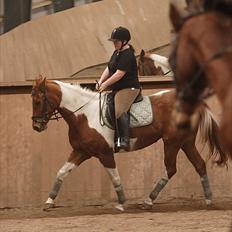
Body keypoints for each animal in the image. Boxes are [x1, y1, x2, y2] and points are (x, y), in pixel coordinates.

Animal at [31, 77, 227, 211]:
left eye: (38, 101)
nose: (36, 126)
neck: (84, 115)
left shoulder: (104, 153)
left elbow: (115, 178)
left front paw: (121, 202)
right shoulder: (81, 151)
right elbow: (62, 172)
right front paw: (49, 202)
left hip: (172, 142)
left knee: (171, 169)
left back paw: (148, 201)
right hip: (185, 142)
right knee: (199, 165)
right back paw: (209, 200)